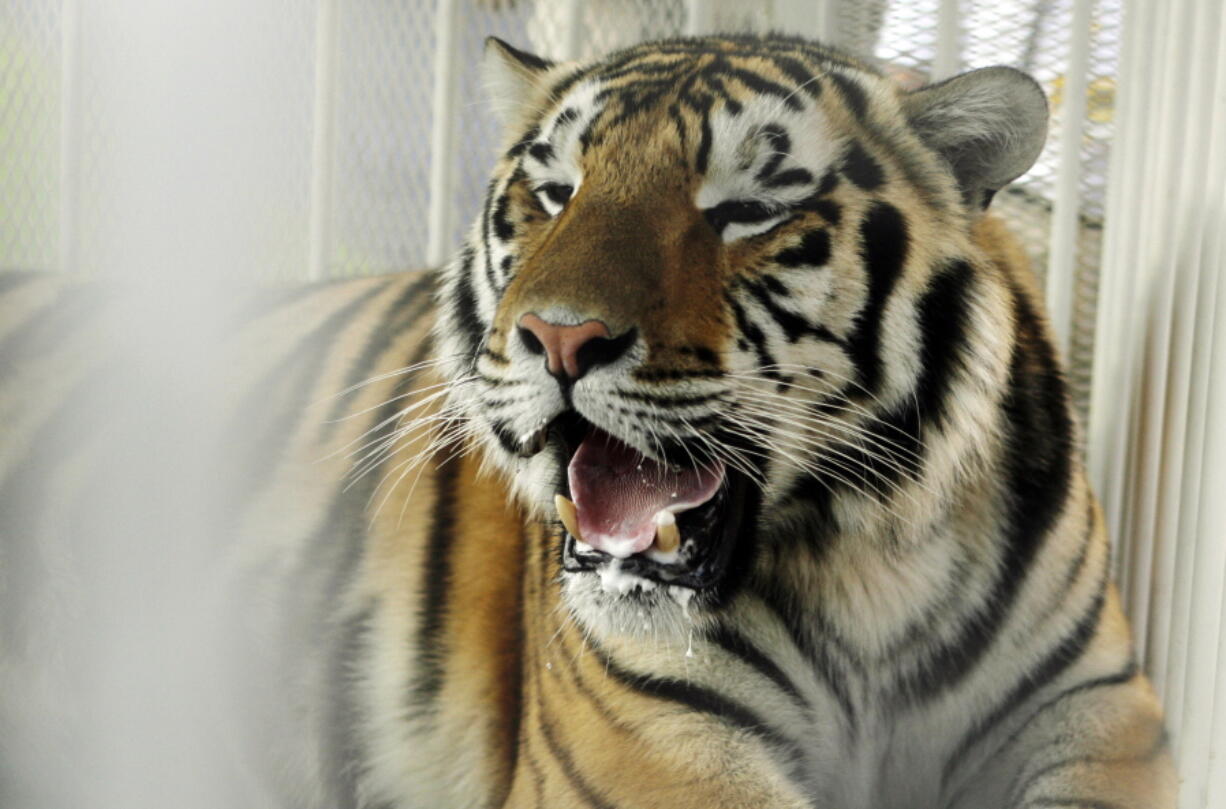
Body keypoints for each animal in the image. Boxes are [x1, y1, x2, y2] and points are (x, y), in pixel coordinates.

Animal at [2, 31, 1176, 809]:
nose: (558, 340)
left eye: (746, 209)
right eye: (557, 193)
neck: (865, 579)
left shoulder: (1100, 716)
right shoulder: (656, 750)